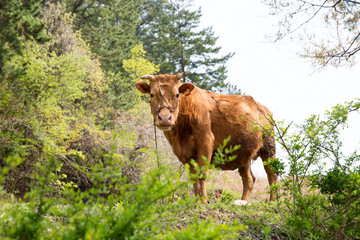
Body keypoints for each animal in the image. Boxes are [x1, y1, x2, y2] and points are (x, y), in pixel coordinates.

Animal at [135, 72, 278, 203]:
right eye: (151, 94)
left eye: (177, 94)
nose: (165, 118)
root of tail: (263, 108)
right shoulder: (183, 152)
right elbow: (193, 177)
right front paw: (196, 201)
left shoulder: (205, 141)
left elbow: (202, 174)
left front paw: (204, 201)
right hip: (245, 153)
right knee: (248, 179)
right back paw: (243, 201)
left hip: (268, 148)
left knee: (272, 174)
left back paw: (272, 202)